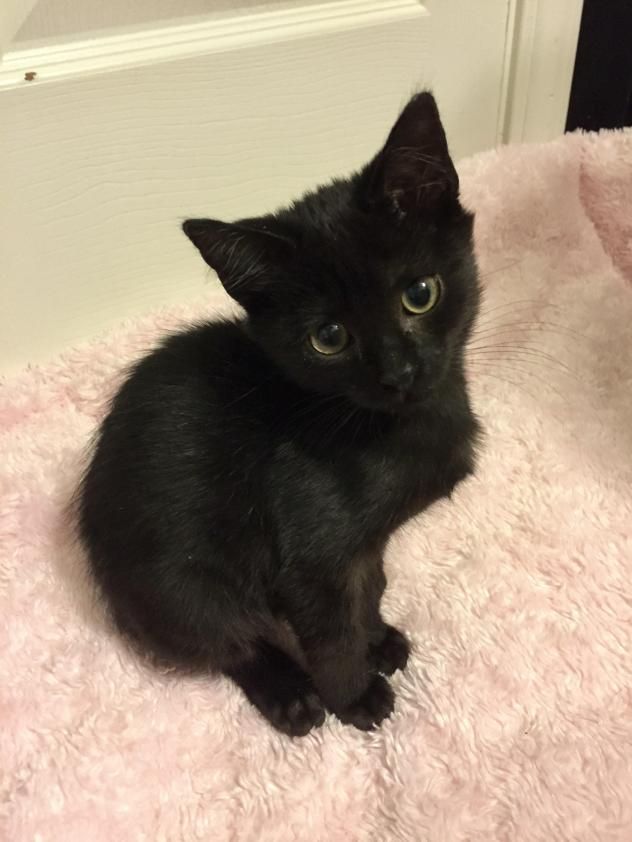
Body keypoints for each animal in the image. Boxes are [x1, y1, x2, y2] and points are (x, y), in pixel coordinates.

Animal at [78, 93, 478, 736]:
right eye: (329, 338)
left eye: (420, 294)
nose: (398, 375)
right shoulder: (310, 554)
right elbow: (329, 631)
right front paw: (354, 695)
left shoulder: (365, 546)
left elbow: (369, 586)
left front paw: (376, 639)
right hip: (181, 584)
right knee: (224, 642)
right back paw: (288, 692)